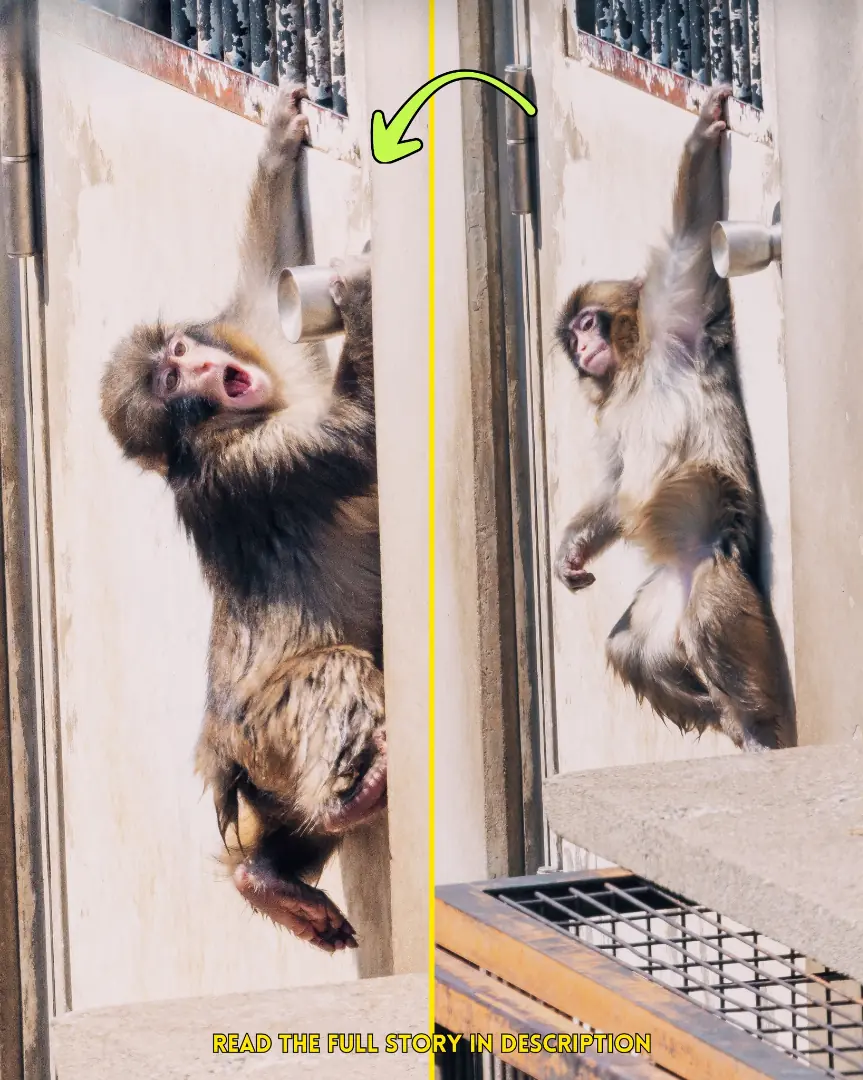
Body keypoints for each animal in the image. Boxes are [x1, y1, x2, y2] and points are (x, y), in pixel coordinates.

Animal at [99, 85, 384, 951]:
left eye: (180, 353)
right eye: (169, 380)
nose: (196, 362)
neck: (244, 419)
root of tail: (220, 756)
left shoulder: (264, 347)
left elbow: (264, 282)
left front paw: (279, 135)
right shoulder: (250, 467)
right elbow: (355, 438)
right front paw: (362, 290)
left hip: (263, 778)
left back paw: (268, 876)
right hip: (262, 736)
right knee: (333, 671)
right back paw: (348, 799)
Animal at [553, 84, 793, 754]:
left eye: (589, 323)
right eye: (573, 337)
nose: (584, 348)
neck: (633, 367)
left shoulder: (674, 316)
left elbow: (691, 241)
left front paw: (703, 130)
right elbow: (616, 484)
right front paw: (571, 548)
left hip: (710, 565)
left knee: (708, 586)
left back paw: (755, 724)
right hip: (662, 604)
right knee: (630, 648)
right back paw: (720, 711)